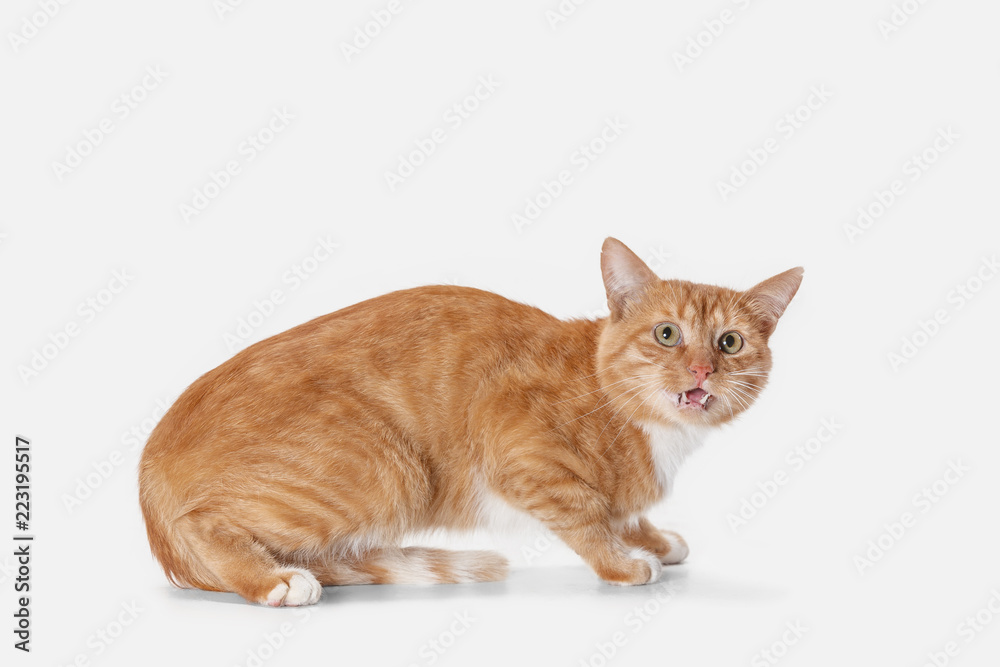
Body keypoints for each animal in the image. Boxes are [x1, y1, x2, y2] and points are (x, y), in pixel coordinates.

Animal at [139, 239, 804, 604]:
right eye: (667, 335)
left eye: (730, 342)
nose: (701, 369)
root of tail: (148, 476)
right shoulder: (519, 451)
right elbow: (585, 515)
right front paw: (622, 561)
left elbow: (622, 511)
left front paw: (651, 537)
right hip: (391, 470)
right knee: (203, 524)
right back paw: (275, 581)